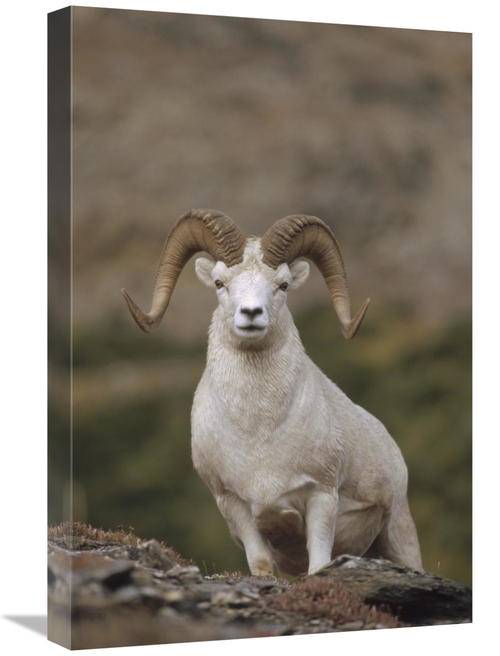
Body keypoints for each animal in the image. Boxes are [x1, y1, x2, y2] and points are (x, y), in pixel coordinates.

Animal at [122, 208, 423, 577]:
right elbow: (261, 565)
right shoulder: (235, 506)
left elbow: (318, 565)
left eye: (283, 285)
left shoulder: (321, 498)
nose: (251, 313)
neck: (258, 432)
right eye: (220, 283)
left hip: (398, 533)